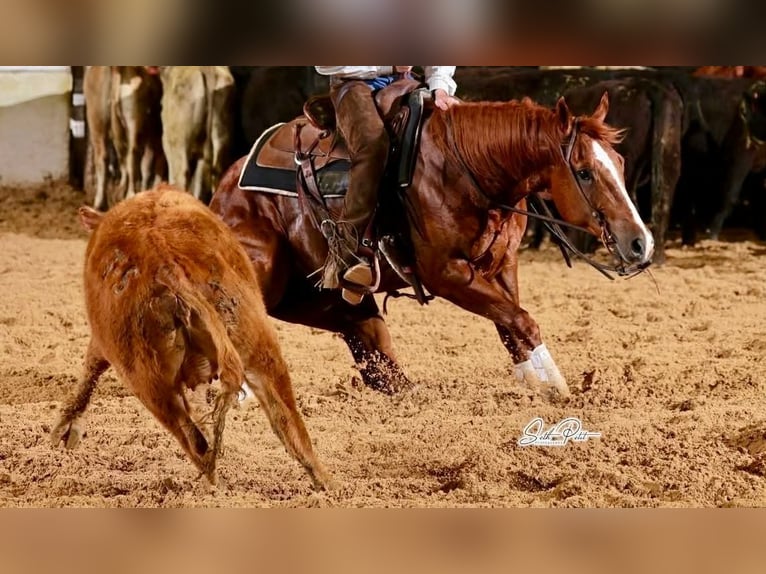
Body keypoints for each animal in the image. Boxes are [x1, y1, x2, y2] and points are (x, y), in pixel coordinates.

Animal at [209, 90, 654, 399]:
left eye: (620, 163)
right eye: (584, 172)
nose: (640, 244)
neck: (468, 169)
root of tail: (227, 185)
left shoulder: (502, 265)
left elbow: (512, 325)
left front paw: (541, 385)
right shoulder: (447, 274)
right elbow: (522, 321)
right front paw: (559, 390)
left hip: (322, 299)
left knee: (373, 352)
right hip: (260, 276)